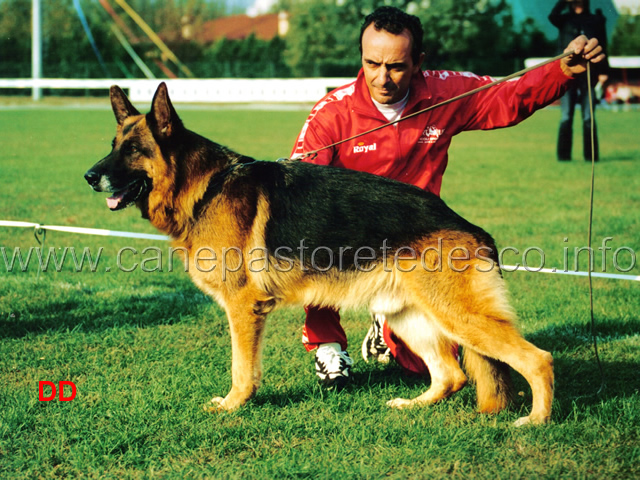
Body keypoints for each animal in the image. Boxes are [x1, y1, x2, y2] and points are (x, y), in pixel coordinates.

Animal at [85, 83, 556, 428]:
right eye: (112, 144)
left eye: (132, 150)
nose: (89, 176)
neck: (206, 187)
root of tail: (469, 226)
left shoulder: (243, 308)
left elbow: (242, 368)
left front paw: (235, 405)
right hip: (412, 317)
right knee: (452, 374)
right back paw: (414, 406)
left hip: (458, 316)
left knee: (537, 360)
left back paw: (536, 421)